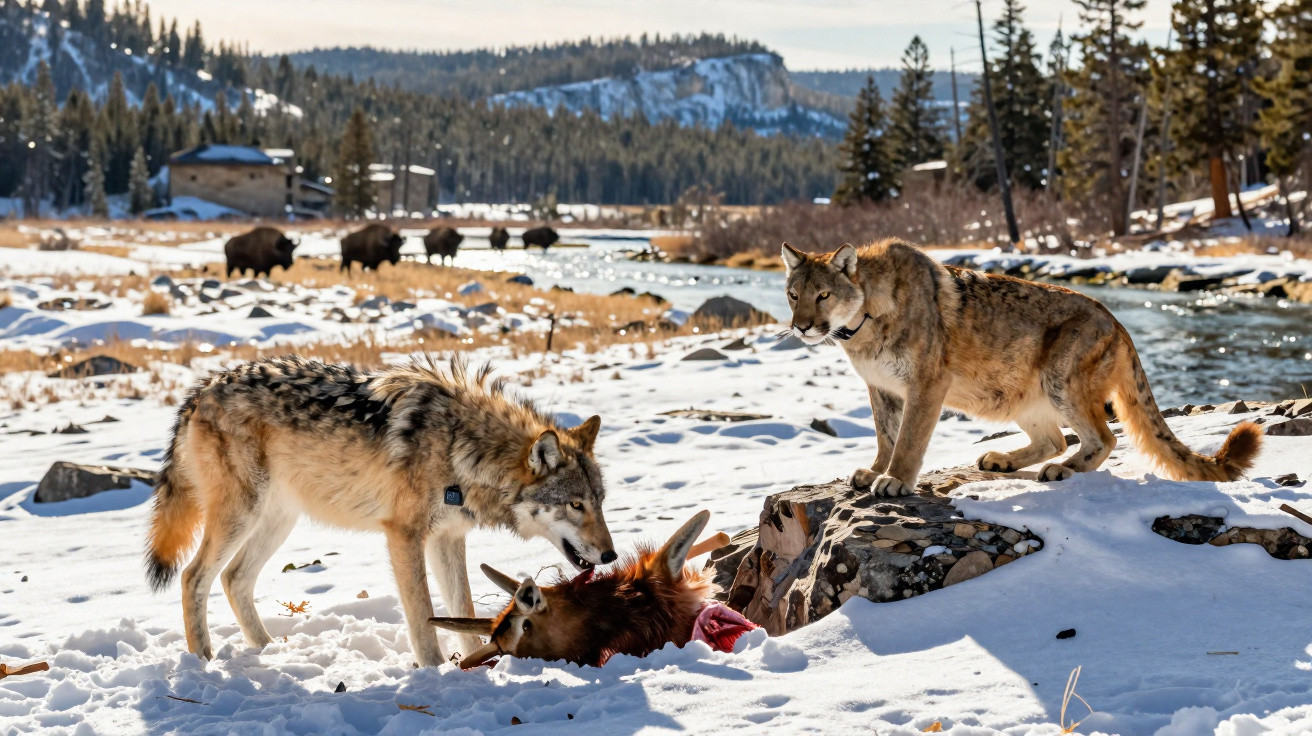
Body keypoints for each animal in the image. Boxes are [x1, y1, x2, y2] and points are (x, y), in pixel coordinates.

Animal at [145, 355, 616, 667]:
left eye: (599, 502)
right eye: (575, 505)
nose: (611, 555)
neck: (460, 446)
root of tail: (202, 390)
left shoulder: (448, 538)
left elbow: (461, 610)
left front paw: (480, 663)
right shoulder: (404, 535)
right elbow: (424, 618)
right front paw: (437, 674)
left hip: (278, 522)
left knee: (233, 578)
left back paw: (268, 650)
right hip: (242, 516)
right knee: (193, 577)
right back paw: (203, 661)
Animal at [781, 240, 1261, 497]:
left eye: (823, 295)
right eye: (793, 293)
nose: (801, 326)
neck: (860, 330)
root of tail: (1117, 321)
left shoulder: (926, 383)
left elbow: (910, 439)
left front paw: (895, 480)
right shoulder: (882, 388)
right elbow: (886, 433)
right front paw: (874, 470)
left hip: (1061, 380)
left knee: (1101, 438)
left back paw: (1063, 470)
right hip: (1017, 395)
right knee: (1053, 438)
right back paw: (1003, 460)